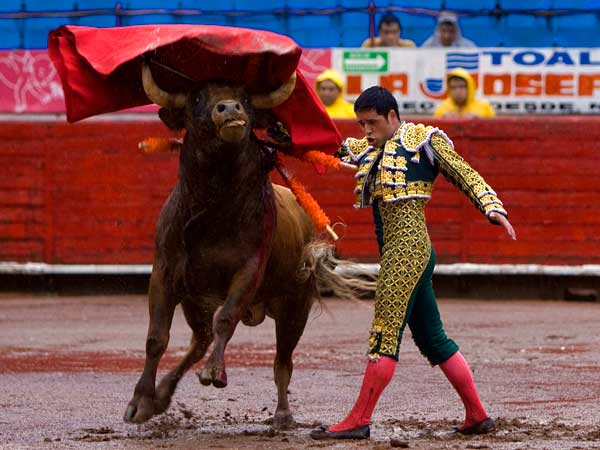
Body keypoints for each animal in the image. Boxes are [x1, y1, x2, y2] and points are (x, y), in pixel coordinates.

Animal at [122, 62, 366, 428]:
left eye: (246, 99)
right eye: (197, 98)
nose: (230, 109)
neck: (214, 208)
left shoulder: (248, 271)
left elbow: (226, 318)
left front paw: (214, 373)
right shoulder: (164, 274)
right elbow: (156, 338)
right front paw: (141, 402)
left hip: (295, 307)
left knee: (281, 360)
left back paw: (282, 415)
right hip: (196, 301)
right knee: (199, 341)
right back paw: (163, 395)